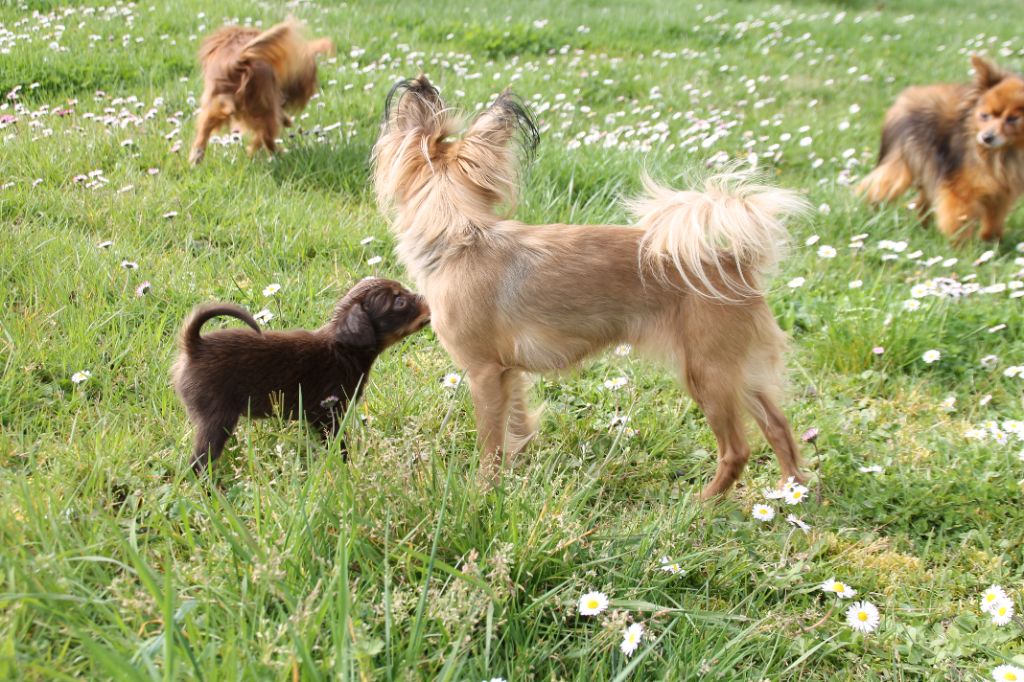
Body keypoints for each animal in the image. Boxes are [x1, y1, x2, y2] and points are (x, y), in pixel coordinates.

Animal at [172, 278, 430, 472]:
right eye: (399, 301)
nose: (431, 299)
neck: (342, 350)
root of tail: (195, 346)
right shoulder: (328, 415)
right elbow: (338, 444)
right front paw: (345, 465)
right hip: (216, 419)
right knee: (198, 463)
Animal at [189, 19, 334, 165]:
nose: (310, 91)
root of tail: (238, 63)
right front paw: (286, 121)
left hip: (214, 105)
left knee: (203, 133)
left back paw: (196, 158)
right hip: (264, 110)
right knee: (266, 138)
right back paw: (275, 155)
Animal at [371, 76, 810, 499]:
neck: (460, 239)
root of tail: (734, 261)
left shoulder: (484, 374)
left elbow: (492, 443)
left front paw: (484, 492)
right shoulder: (509, 374)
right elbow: (518, 427)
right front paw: (516, 477)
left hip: (707, 375)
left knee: (737, 449)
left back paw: (703, 503)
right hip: (739, 373)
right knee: (779, 428)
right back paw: (793, 495)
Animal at [858, 55, 1024, 243]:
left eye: (1012, 119)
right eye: (985, 116)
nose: (986, 137)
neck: (1003, 153)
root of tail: (902, 100)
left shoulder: (1000, 194)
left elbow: (993, 219)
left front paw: (991, 241)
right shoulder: (960, 190)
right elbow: (958, 219)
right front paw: (962, 246)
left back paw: (922, 226)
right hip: (903, 164)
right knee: (878, 186)